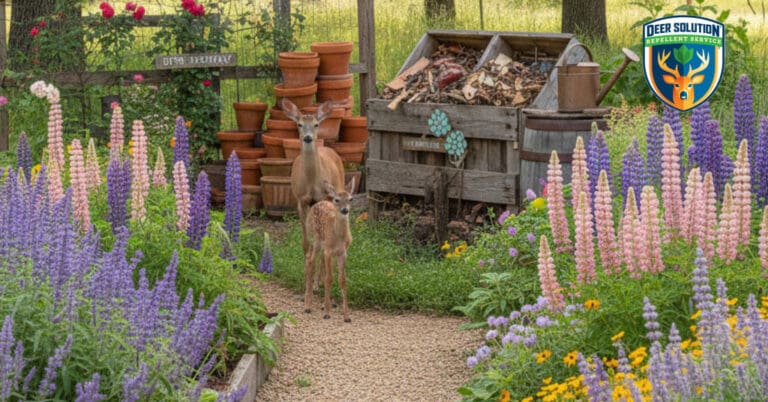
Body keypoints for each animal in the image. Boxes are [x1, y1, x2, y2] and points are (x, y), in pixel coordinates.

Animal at [283, 98, 346, 258]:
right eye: (299, 124)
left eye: (316, 124)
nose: (308, 137)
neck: (311, 183)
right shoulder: (300, 199)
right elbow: (305, 243)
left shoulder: (324, 197)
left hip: (339, 186)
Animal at [304, 178, 355, 322]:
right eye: (337, 199)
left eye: (351, 199)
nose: (345, 210)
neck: (338, 237)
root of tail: (318, 202)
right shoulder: (328, 251)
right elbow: (329, 278)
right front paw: (327, 313)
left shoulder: (342, 253)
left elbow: (342, 280)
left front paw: (346, 315)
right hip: (315, 238)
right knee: (310, 261)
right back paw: (307, 304)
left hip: (323, 248)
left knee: (317, 262)